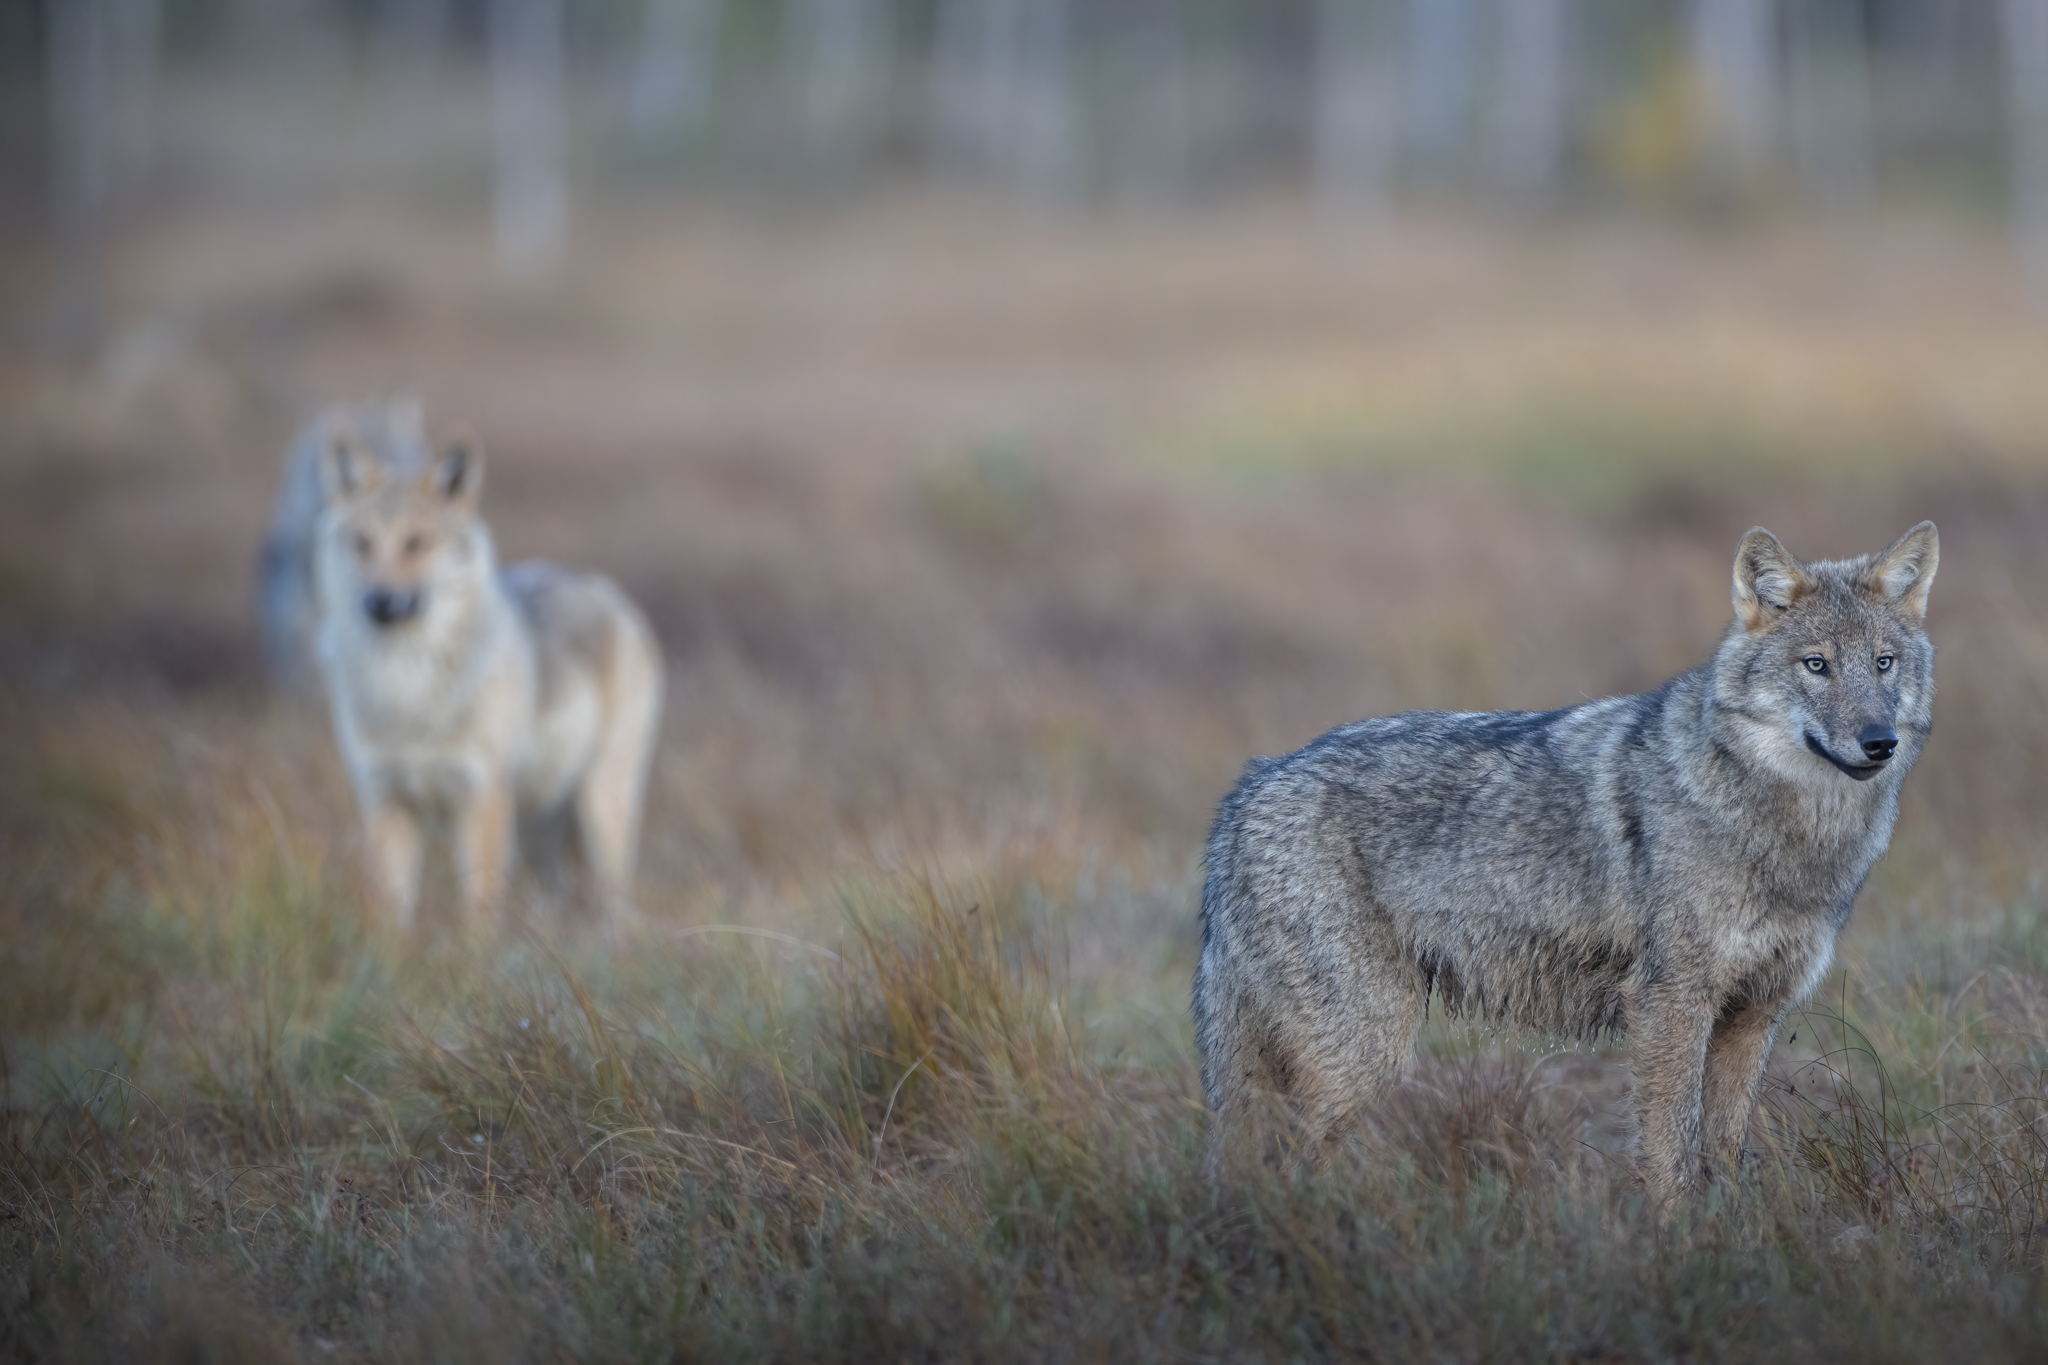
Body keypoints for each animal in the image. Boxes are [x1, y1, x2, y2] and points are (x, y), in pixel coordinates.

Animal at [312, 424, 664, 935]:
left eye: (416, 542)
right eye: (362, 543)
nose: (378, 602)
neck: (408, 691)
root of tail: (609, 592)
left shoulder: (482, 803)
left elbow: (478, 914)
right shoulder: (385, 802)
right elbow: (389, 915)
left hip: (600, 807)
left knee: (617, 900)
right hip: (541, 829)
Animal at [1193, 522, 1939, 1204]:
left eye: (1883, 663)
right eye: (1816, 665)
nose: (1879, 741)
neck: (1791, 838)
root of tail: (1247, 791)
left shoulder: (1752, 1015)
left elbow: (1722, 1153)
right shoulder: (1669, 1004)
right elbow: (1670, 1151)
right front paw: (1679, 1244)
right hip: (1360, 1051)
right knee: (1278, 1163)